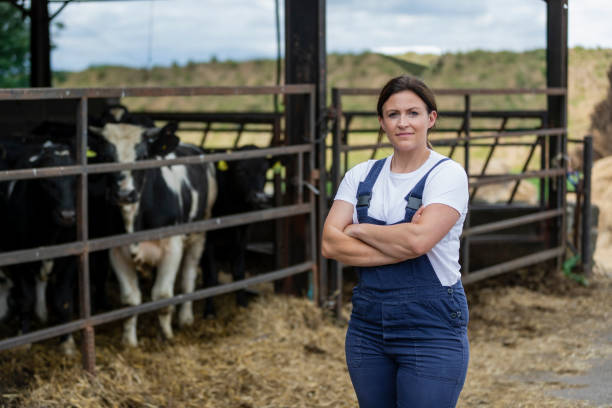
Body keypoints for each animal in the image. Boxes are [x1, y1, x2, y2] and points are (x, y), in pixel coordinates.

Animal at [0, 141, 79, 354]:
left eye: (75, 179)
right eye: (46, 181)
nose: (67, 215)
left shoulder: (71, 257)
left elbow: (64, 301)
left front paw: (67, 341)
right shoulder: (18, 259)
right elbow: (26, 298)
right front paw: (23, 338)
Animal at [88, 122, 218, 348]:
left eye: (142, 156)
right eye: (105, 157)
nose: (124, 194)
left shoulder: (172, 246)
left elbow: (163, 296)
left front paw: (165, 336)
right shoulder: (117, 251)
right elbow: (130, 300)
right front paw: (129, 342)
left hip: (199, 234)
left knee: (188, 278)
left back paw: (185, 318)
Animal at [202, 145, 272, 318]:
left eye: (264, 171)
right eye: (240, 170)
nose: (259, 196)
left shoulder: (242, 238)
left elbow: (239, 272)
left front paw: (242, 304)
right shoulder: (207, 242)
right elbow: (211, 276)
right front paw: (209, 311)